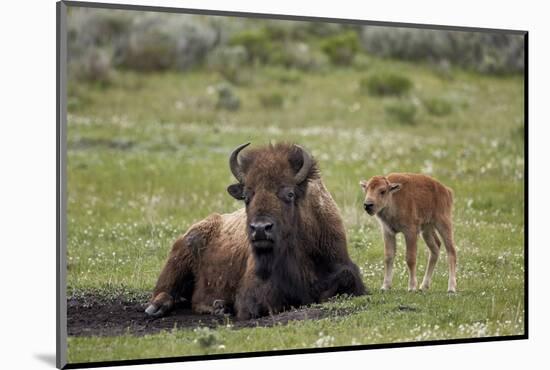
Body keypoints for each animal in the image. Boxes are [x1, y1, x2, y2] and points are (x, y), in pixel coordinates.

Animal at [148, 143, 366, 320]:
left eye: (289, 194)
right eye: (246, 196)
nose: (260, 229)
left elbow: (345, 277)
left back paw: (221, 307)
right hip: (179, 259)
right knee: (165, 291)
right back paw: (158, 308)